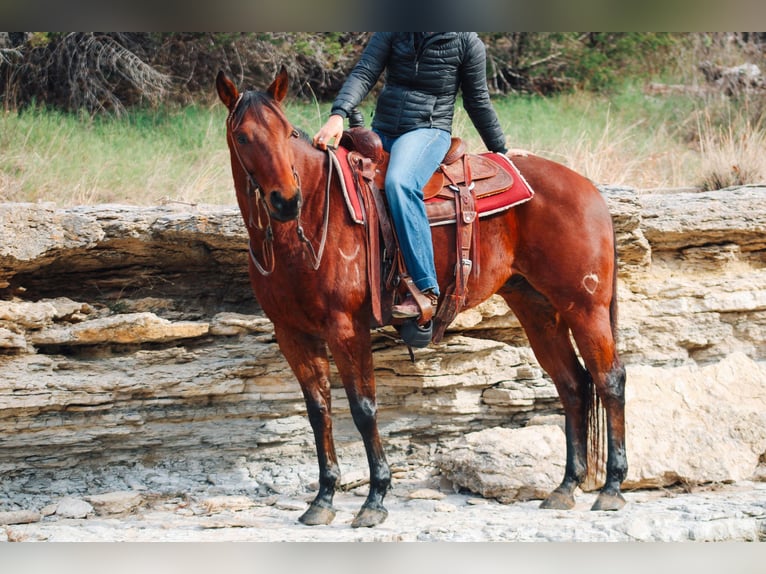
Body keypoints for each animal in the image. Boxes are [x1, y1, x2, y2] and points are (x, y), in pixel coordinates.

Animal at [216, 68, 632, 532]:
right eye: (243, 136)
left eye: (287, 132)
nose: (287, 200)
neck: (305, 226)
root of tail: (588, 189)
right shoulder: (292, 334)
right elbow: (318, 410)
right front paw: (323, 499)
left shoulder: (346, 329)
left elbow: (363, 408)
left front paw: (375, 498)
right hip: (537, 309)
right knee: (572, 384)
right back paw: (566, 487)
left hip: (585, 307)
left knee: (609, 379)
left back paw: (612, 488)